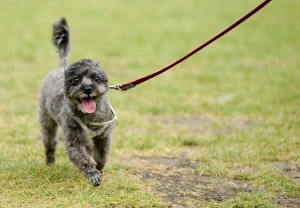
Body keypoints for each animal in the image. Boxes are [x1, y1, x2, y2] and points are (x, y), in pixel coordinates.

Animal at [38, 17, 116, 186]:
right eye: (75, 80)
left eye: (96, 78)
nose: (87, 88)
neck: (90, 116)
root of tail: (61, 67)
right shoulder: (74, 141)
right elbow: (83, 159)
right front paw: (93, 175)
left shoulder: (103, 137)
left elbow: (101, 156)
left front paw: (99, 170)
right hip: (47, 121)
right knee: (50, 142)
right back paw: (50, 161)